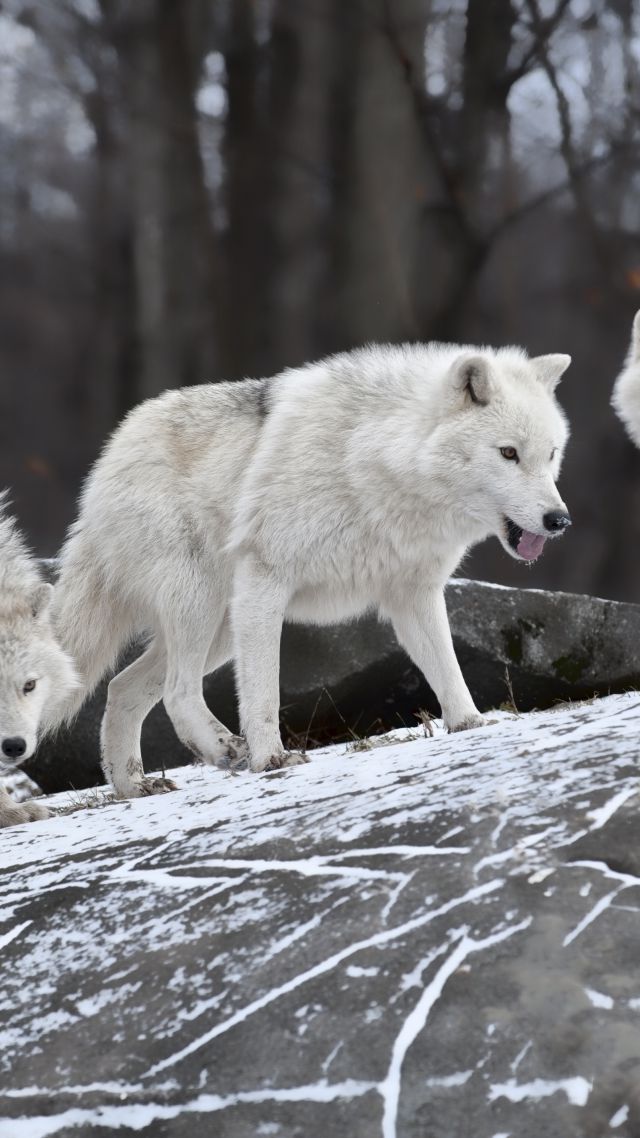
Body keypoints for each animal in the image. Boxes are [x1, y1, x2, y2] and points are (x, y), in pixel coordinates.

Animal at [50, 341, 572, 798]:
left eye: (550, 454)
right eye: (508, 453)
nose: (559, 520)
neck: (375, 462)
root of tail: (109, 456)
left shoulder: (414, 594)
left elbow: (447, 669)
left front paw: (470, 725)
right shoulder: (266, 581)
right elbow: (263, 690)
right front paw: (271, 759)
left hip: (221, 626)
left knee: (122, 687)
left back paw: (133, 787)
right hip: (203, 604)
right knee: (178, 691)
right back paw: (224, 750)